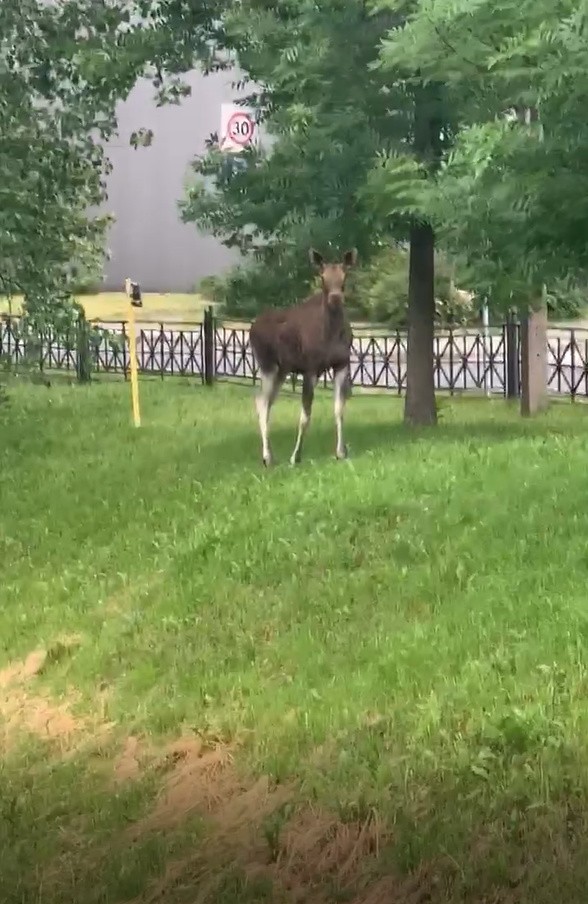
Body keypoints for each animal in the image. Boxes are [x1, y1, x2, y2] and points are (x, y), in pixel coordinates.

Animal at [249, 251, 356, 470]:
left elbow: (339, 409)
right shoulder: (310, 368)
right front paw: (295, 456)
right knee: (261, 401)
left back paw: (271, 454)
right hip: (267, 364)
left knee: (267, 402)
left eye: (344, 276)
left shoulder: (342, 364)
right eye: (322, 277)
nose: (335, 298)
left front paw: (341, 452)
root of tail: (251, 328)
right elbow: (305, 416)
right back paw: (267, 457)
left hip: (282, 369)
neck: (331, 334)